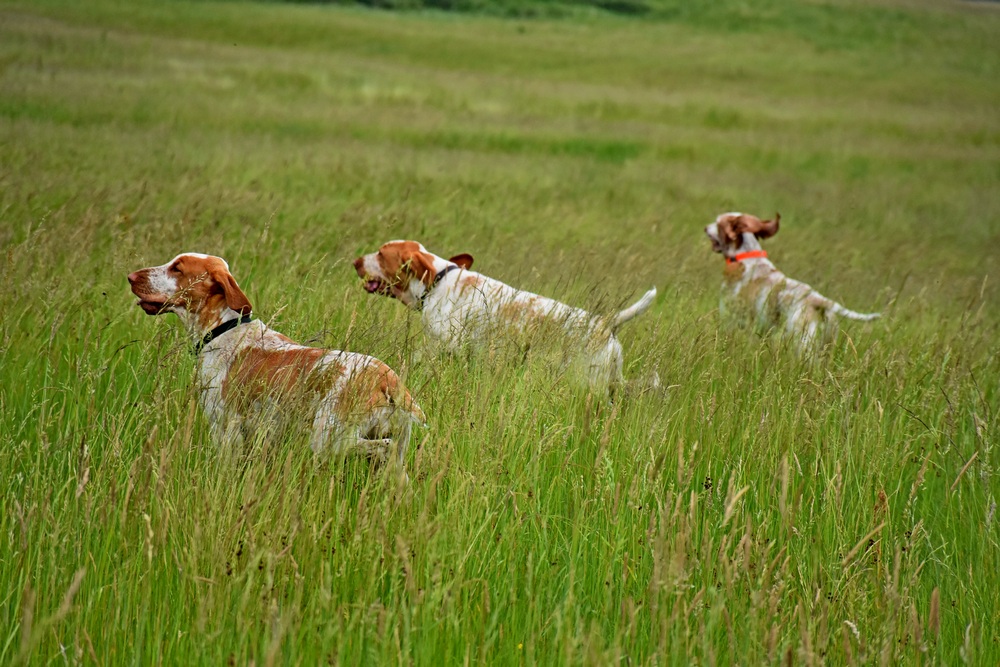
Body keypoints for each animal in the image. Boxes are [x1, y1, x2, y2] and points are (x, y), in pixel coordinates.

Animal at [127, 253, 424, 478]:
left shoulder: (226, 431)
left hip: (329, 441)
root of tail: (388, 379)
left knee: (383, 448)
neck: (224, 329)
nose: (130, 277)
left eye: (177, 268)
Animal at [704, 214, 876, 352]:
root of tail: (817, 299)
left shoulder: (730, 318)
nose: (706, 227)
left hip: (802, 342)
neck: (746, 255)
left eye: (718, 222)